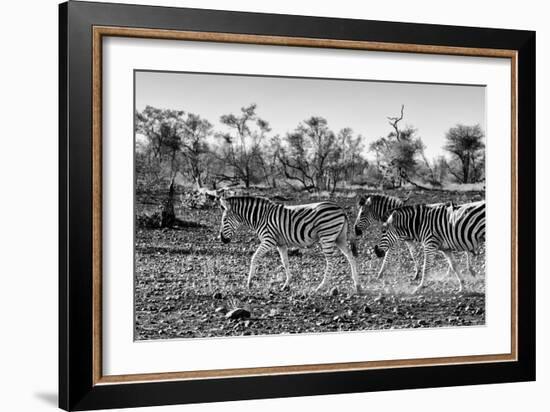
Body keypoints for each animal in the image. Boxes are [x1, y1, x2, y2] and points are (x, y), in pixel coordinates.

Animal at [218, 196, 364, 294]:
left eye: (224, 219)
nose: (222, 239)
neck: (260, 217)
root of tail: (340, 208)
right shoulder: (280, 244)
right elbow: (285, 262)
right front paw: (286, 284)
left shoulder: (268, 240)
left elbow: (254, 258)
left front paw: (249, 283)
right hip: (340, 238)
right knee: (351, 257)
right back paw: (357, 285)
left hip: (327, 236)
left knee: (331, 261)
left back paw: (321, 286)